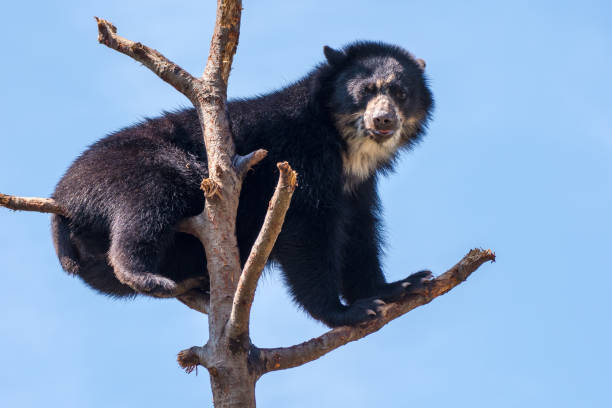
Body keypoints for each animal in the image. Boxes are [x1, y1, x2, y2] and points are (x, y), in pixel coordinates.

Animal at [52, 41, 436, 326]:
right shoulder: (298, 161)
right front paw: (348, 312)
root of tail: (62, 199)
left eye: (401, 93)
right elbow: (306, 233)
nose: (383, 120)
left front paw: (400, 285)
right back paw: (146, 276)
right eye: (365, 91)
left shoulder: (358, 187)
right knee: (149, 202)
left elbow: (360, 234)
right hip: (126, 170)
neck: (344, 147)